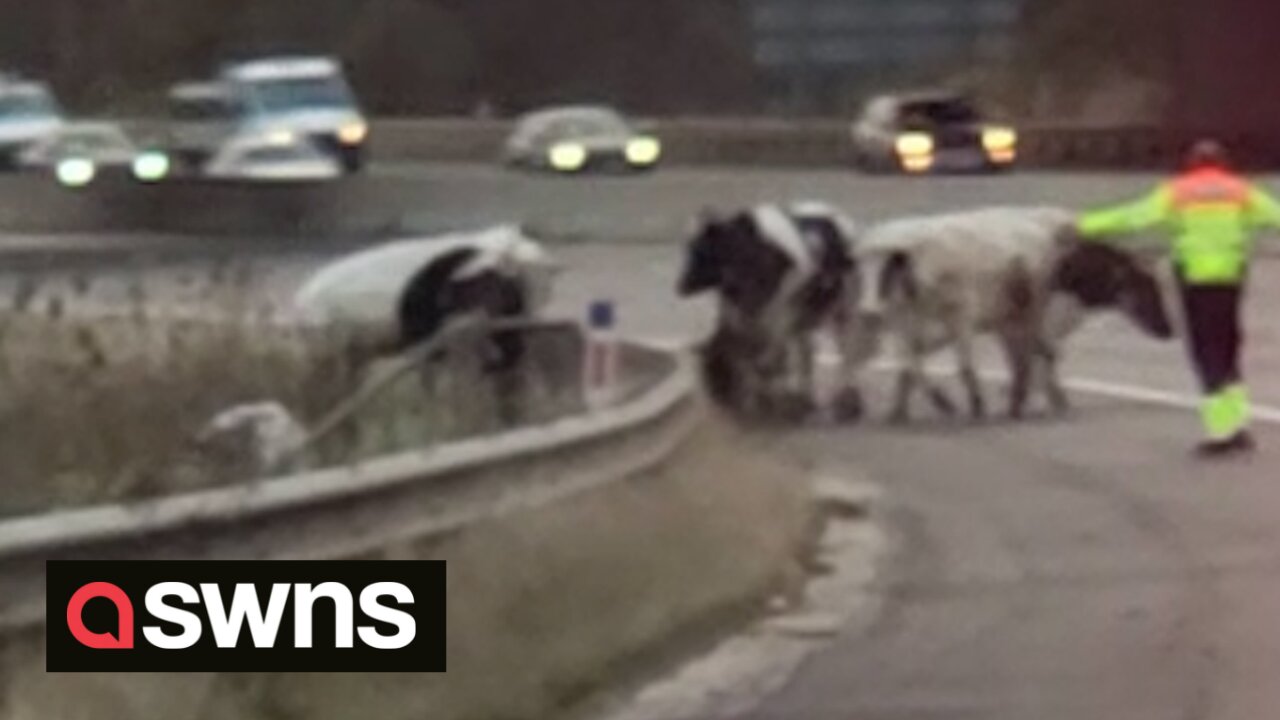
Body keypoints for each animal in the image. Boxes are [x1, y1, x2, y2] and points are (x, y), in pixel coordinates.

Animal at [675, 198, 865, 417]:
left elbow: (768, 364)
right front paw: (754, 400)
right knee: (805, 354)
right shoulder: (742, 320)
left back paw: (845, 400)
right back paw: (803, 397)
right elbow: (746, 358)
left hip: (846, 309)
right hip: (803, 322)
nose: (679, 287)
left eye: (701, 251)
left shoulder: (778, 322)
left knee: (847, 351)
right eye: (690, 248)